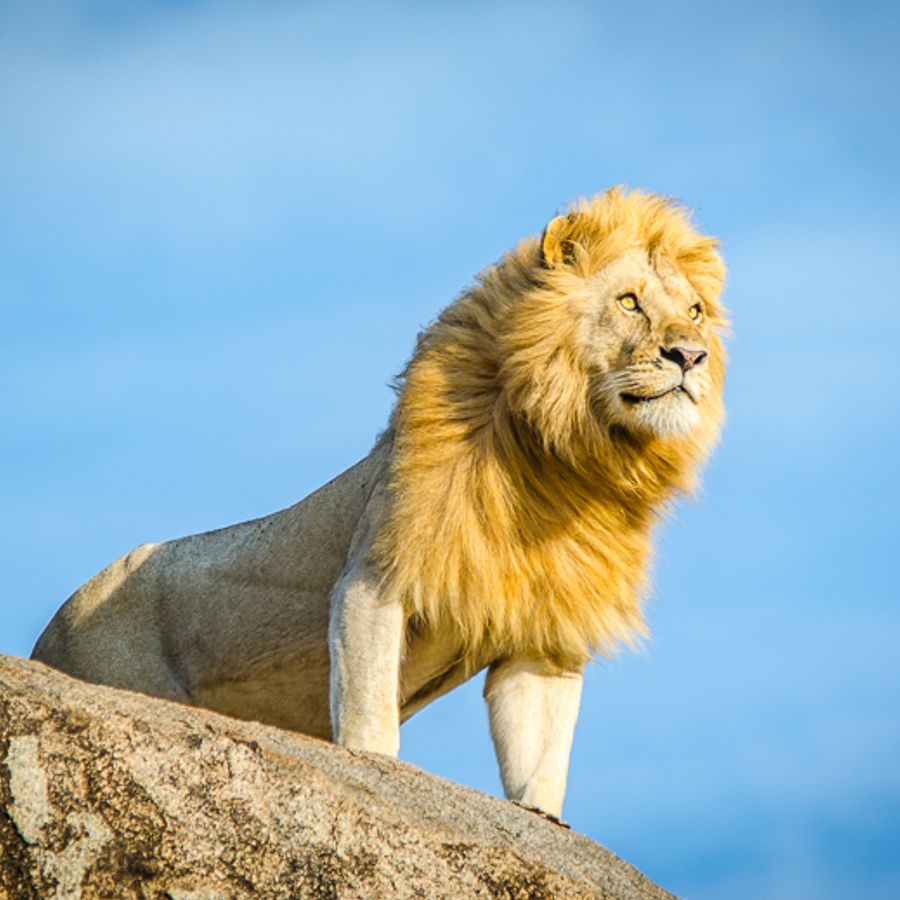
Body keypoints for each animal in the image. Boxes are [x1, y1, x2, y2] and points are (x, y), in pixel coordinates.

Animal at [31, 190, 728, 824]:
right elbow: (370, 716)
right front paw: (380, 777)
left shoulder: (544, 637)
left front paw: (544, 820)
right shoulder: (374, 579)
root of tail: (50, 629)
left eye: (695, 312)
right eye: (629, 301)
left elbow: (540, 759)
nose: (690, 356)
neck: (571, 463)